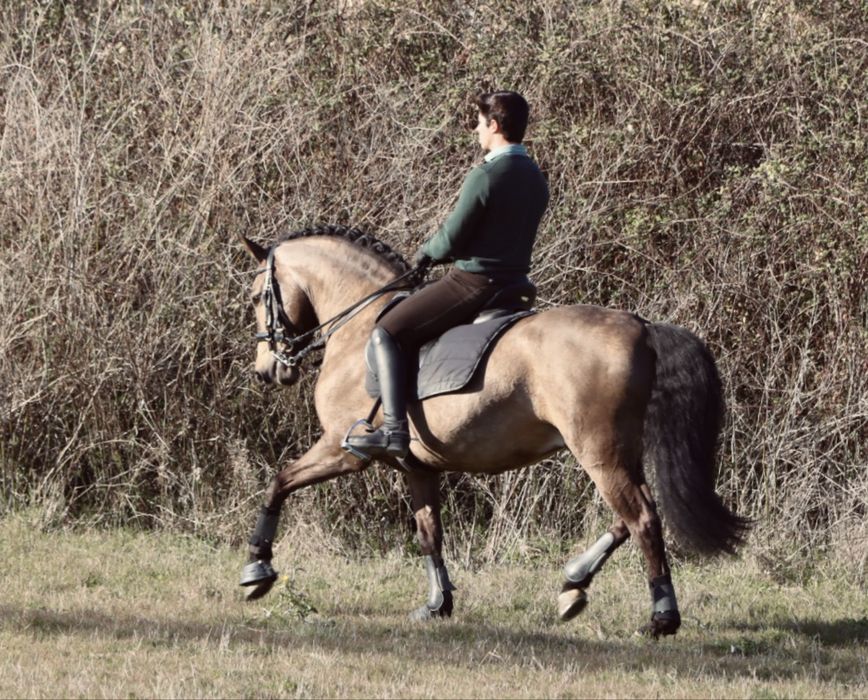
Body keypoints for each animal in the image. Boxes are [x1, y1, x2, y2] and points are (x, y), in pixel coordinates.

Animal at [238, 224, 749, 638]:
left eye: (256, 296)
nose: (267, 370)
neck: (359, 326)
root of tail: (640, 326)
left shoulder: (341, 451)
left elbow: (279, 482)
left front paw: (256, 570)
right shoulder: (416, 466)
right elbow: (429, 533)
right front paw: (437, 605)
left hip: (599, 451)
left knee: (642, 518)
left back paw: (661, 618)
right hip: (617, 451)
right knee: (631, 516)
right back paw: (573, 585)